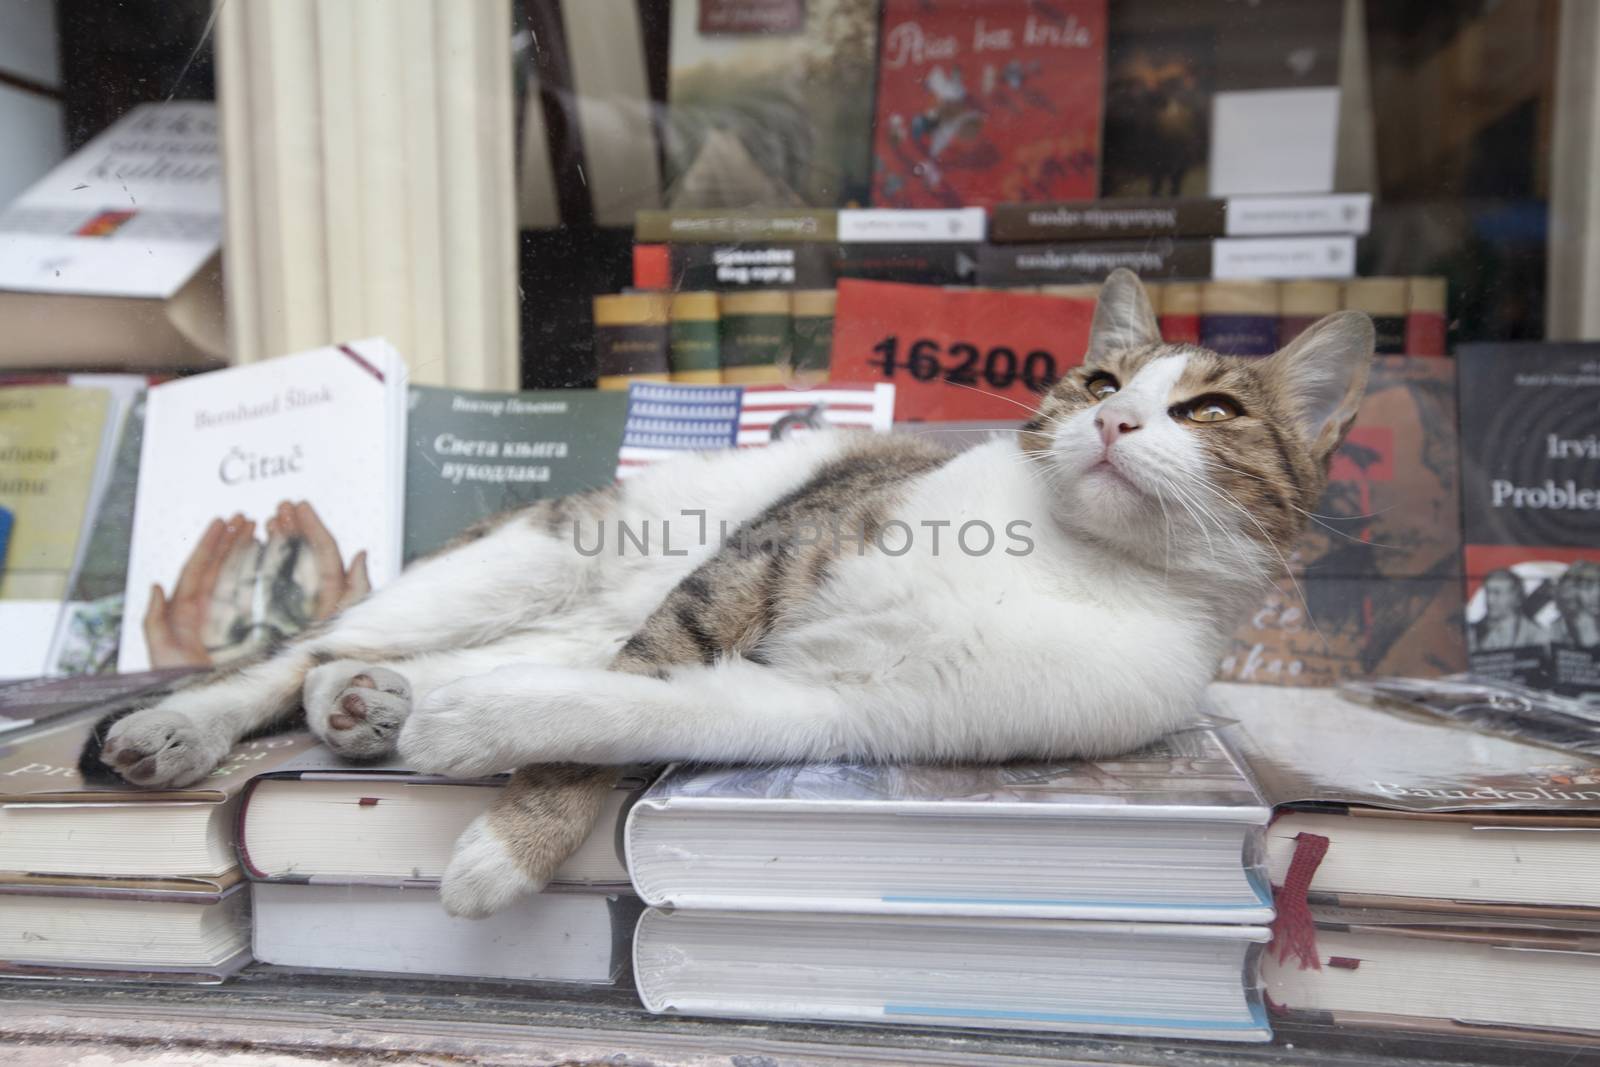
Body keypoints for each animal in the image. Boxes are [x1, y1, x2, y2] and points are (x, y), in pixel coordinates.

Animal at [90, 271, 1376, 921]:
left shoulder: (847, 709)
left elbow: (635, 706)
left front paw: (499, 779)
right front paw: (512, 828)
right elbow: (653, 661)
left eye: (1210, 410)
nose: (1113, 423)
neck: (1072, 556)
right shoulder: (766, 559)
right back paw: (190, 721)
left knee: (443, 660)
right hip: (537, 554)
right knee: (291, 655)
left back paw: (383, 703)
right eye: (1102, 382)